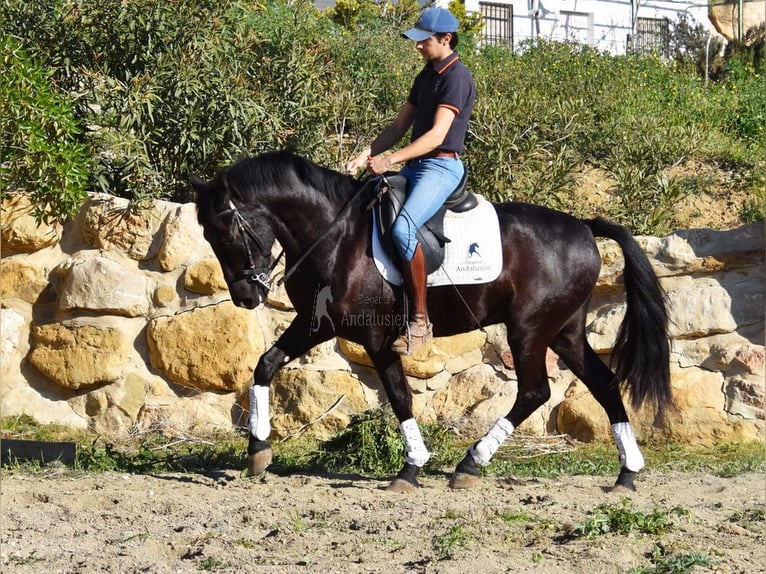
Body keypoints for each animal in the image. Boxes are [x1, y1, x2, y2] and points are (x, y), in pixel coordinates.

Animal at [192, 151, 672, 492]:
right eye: (208, 235)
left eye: (226, 231)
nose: (246, 296)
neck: (336, 237)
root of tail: (585, 228)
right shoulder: (317, 323)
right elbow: (265, 364)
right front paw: (258, 449)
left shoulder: (377, 338)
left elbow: (400, 396)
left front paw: (410, 468)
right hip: (565, 332)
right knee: (604, 384)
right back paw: (627, 474)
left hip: (530, 329)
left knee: (535, 391)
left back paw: (470, 464)